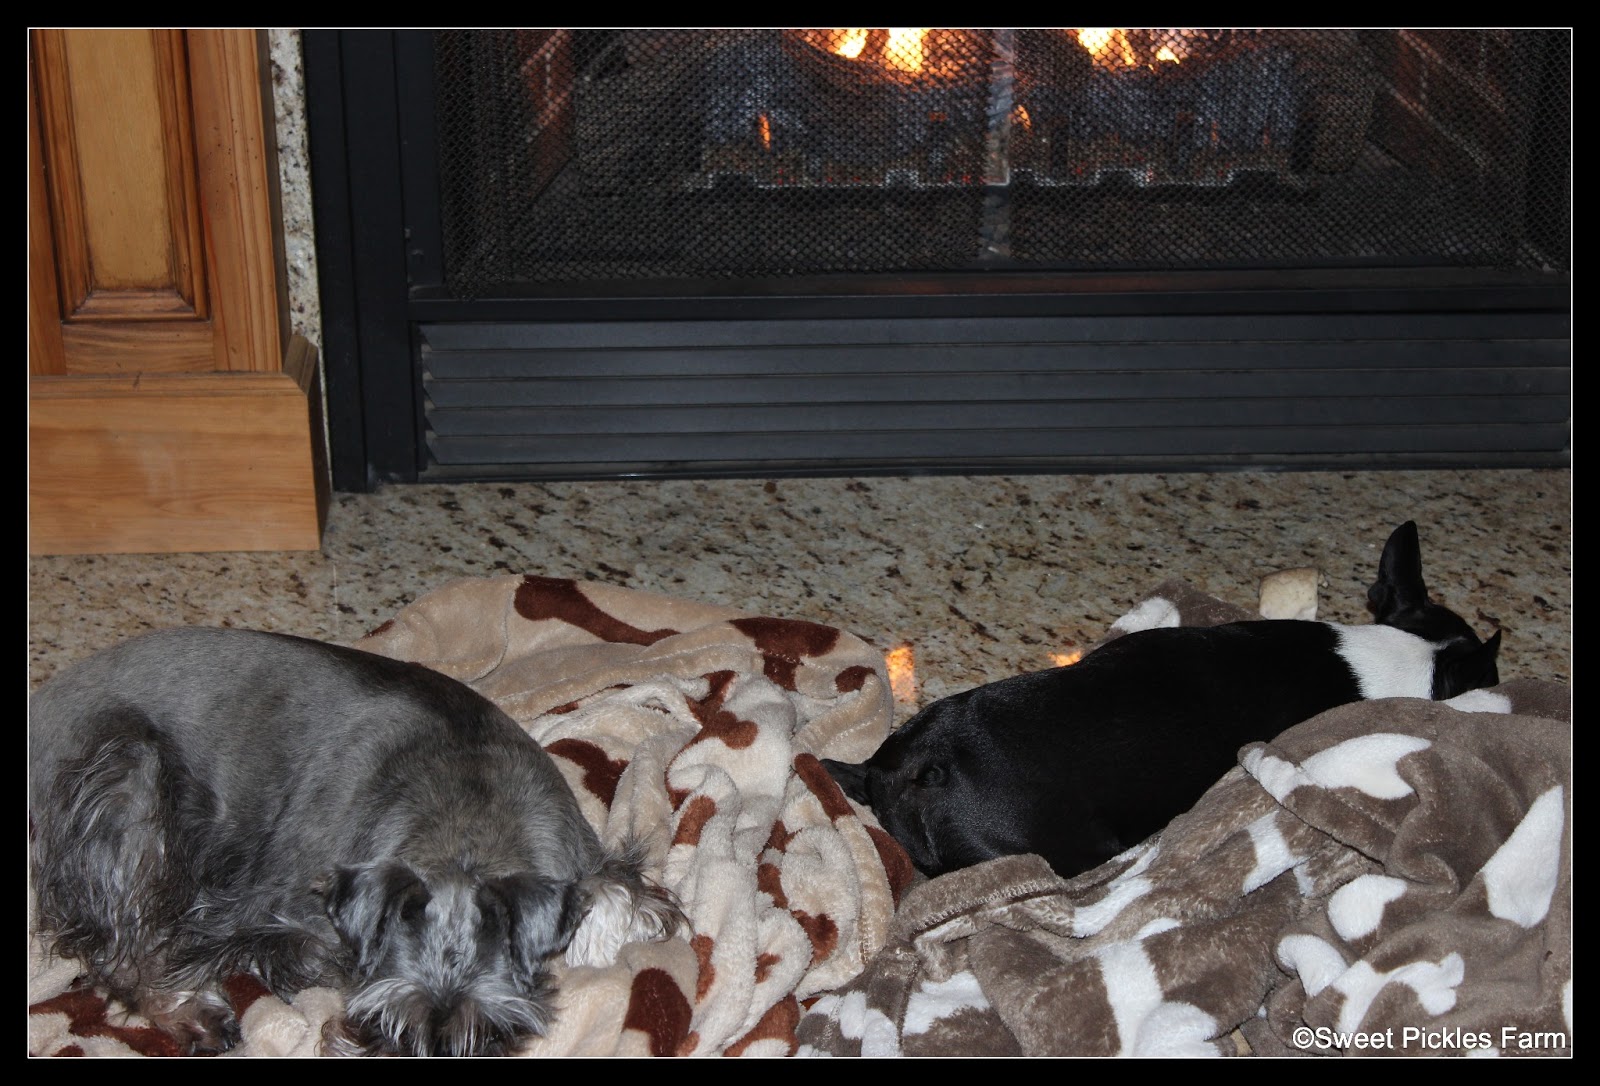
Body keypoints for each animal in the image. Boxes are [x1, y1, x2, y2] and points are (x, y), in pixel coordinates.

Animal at [27, 628, 683, 1056]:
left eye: (490, 1033)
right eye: (389, 1022)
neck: (468, 825)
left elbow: (623, 899)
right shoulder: (265, 914)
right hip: (125, 775)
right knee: (123, 944)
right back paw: (194, 1012)